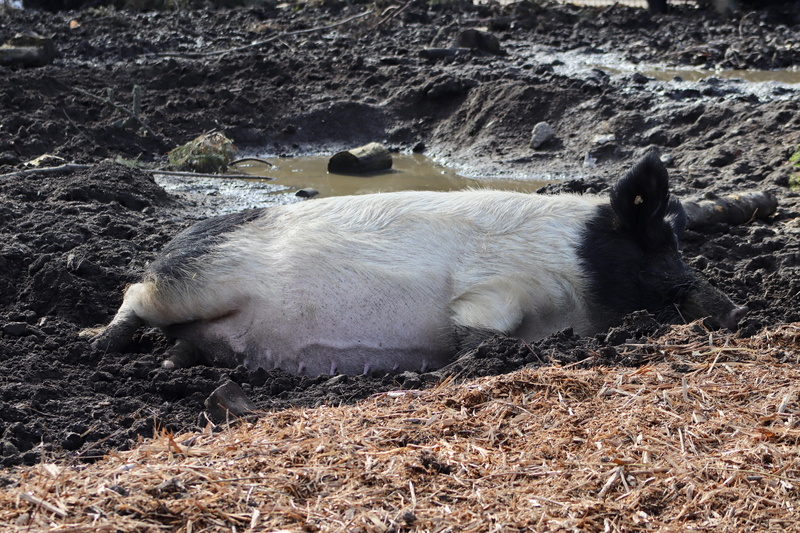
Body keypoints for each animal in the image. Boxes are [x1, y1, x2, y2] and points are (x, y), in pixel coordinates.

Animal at [86, 152, 746, 376]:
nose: (737, 311)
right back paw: (95, 345)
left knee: (175, 337)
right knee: (131, 291)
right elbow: (477, 323)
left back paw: (171, 362)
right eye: (660, 247)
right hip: (188, 283)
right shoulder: (495, 288)